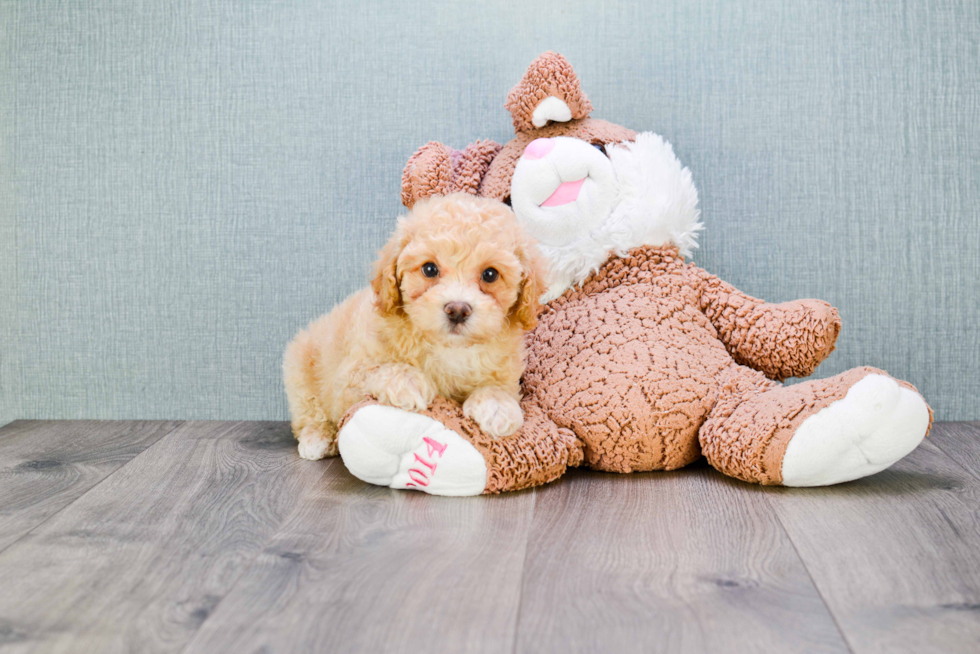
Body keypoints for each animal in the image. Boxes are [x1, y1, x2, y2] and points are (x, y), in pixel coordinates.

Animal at [284, 193, 548, 462]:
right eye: (429, 269)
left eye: (490, 275)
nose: (457, 309)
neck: (449, 348)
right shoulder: (347, 379)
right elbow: (379, 368)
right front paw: (409, 382)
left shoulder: (505, 372)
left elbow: (498, 388)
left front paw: (497, 406)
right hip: (299, 372)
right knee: (308, 413)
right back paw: (316, 438)